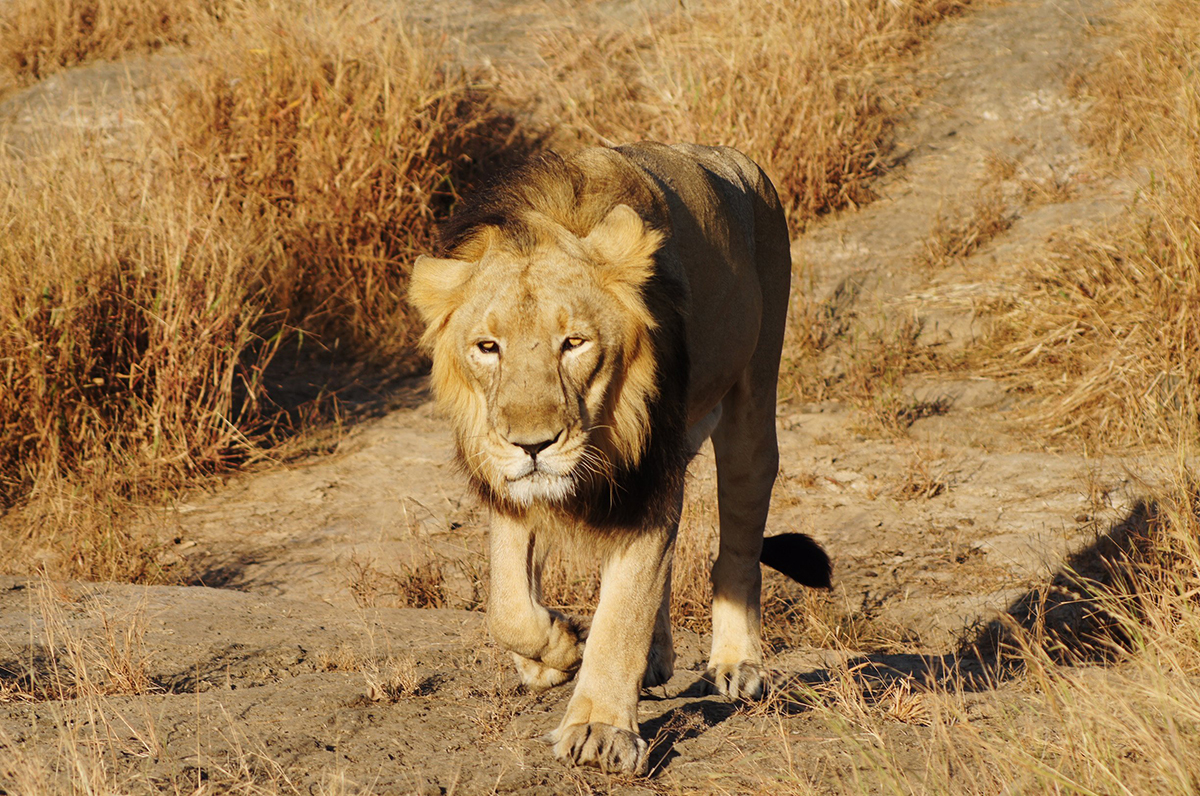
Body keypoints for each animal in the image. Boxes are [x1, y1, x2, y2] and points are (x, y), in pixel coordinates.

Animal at [408, 142, 831, 775]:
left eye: (574, 343)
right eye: (488, 347)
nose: (532, 445)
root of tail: (731, 158)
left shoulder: (648, 473)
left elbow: (623, 610)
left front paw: (600, 728)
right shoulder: (511, 484)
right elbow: (507, 604)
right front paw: (555, 651)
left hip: (753, 402)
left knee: (737, 546)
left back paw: (737, 664)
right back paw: (652, 660)